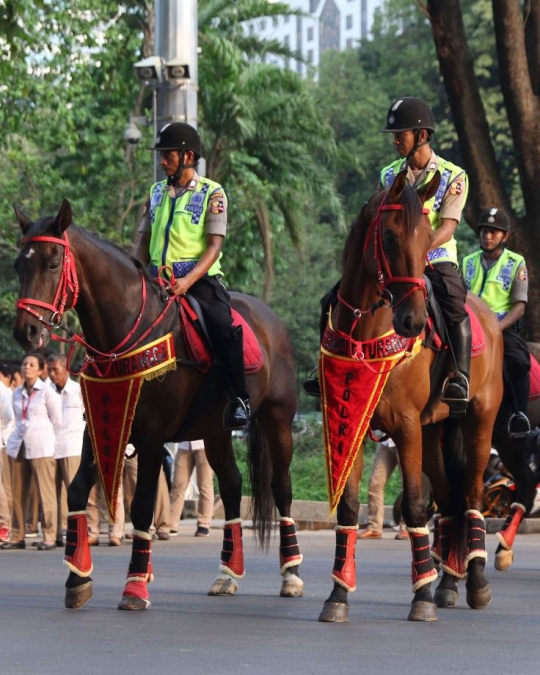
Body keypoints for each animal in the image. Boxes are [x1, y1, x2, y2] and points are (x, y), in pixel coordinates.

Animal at [9, 123, 304, 612]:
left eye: (52, 263)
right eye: (17, 265)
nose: (26, 332)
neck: (127, 329)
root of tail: (271, 319)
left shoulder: (150, 436)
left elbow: (144, 506)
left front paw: (134, 585)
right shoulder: (101, 426)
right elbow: (77, 492)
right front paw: (77, 577)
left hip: (277, 419)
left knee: (280, 486)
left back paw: (292, 574)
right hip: (216, 427)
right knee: (231, 483)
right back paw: (227, 573)